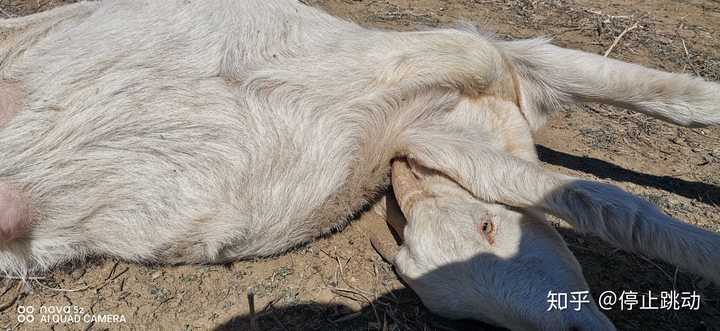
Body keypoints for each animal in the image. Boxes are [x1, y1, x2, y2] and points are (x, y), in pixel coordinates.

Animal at [0, 1, 716, 330]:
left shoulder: (456, 85)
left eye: (490, 233)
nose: (582, 324)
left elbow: (669, 104)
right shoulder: (447, 77)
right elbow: (611, 205)